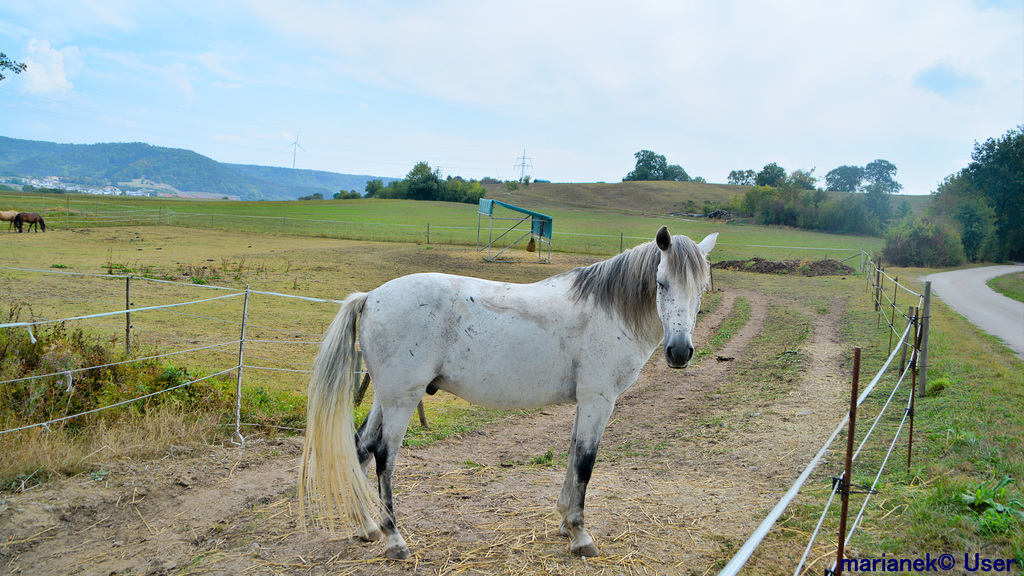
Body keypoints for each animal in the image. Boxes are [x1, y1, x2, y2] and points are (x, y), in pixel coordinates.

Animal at [301, 224, 720, 557]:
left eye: (702, 287)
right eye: (662, 283)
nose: (680, 351)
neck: (608, 311)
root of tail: (370, 296)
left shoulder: (584, 403)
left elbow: (572, 456)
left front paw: (565, 522)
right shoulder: (598, 399)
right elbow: (585, 462)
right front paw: (581, 534)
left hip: (387, 398)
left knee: (361, 447)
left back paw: (366, 527)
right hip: (402, 400)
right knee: (384, 458)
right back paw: (394, 540)